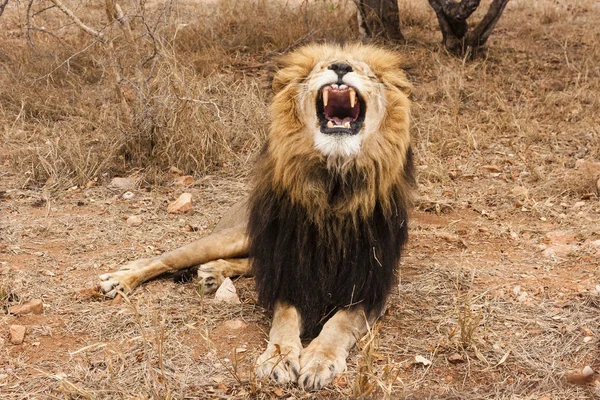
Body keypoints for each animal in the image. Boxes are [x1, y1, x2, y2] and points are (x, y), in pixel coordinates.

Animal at [98, 43, 412, 390]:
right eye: (317, 68)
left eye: (369, 72)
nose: (341, 66)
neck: (333, 186)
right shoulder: (289, 271)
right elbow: (285, 319)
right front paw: (278, 357)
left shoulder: (371, 286)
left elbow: (340, 323)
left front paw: (320, 359)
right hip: (234, 236)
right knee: (166, 258)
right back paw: (120, 279)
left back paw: (212, 273)